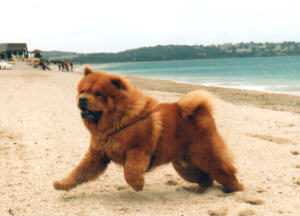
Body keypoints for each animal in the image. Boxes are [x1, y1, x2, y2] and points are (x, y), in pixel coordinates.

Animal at [52, 67, 244, 192]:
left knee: (225, 171)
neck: (117, 122)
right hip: (186, 166)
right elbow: (79, 172)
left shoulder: (138, 149)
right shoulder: (97, 155)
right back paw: (199, 189)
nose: (82, 99)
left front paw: (138, 184)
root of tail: (201, 111)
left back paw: (235, 188)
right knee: (207, 178)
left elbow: (130, 171)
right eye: (82, 91)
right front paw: (63, 184)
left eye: (98, 94)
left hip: (206, 155)